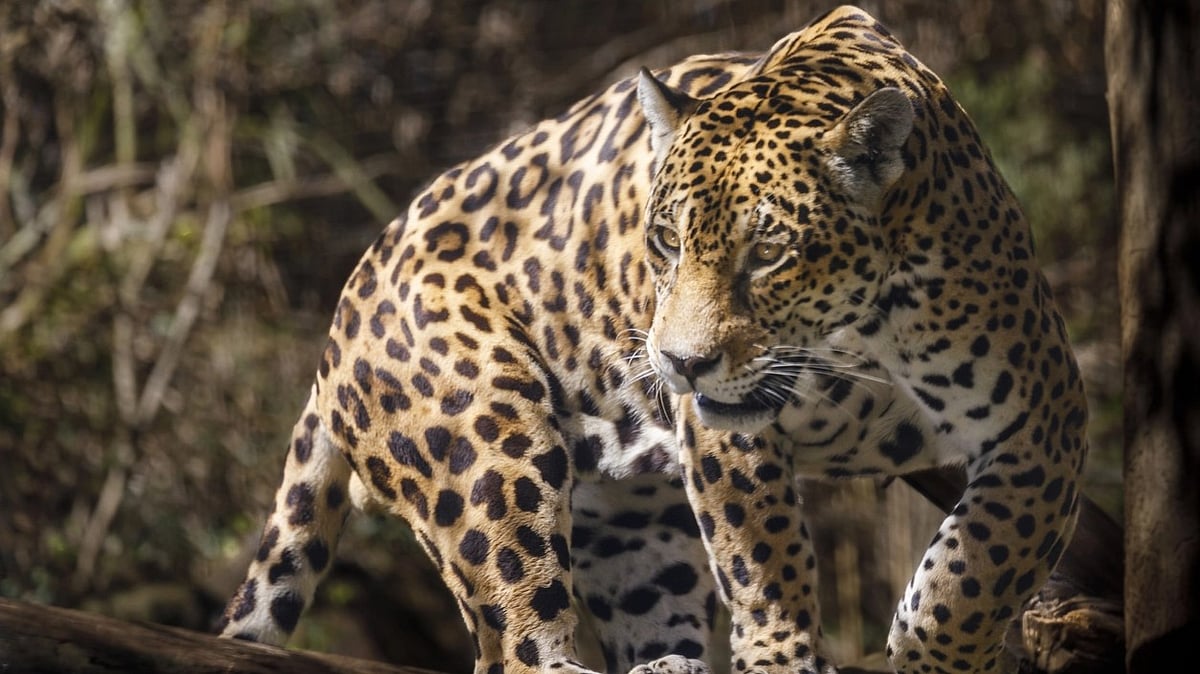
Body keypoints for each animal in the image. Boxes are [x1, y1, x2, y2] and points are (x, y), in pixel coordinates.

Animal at [218, 6, 1087, 674]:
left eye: (768, 251)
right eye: (667, 240)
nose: (680, 364)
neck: (856, 331)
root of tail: (342, 315)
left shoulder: (1042, 416)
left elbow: (984, 561)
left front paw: (936, 649)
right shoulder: (727, 434)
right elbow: (762, 558)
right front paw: (783, 656)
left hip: (636, 520)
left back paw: (669, 665)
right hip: (487, 440)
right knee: (514, 641)